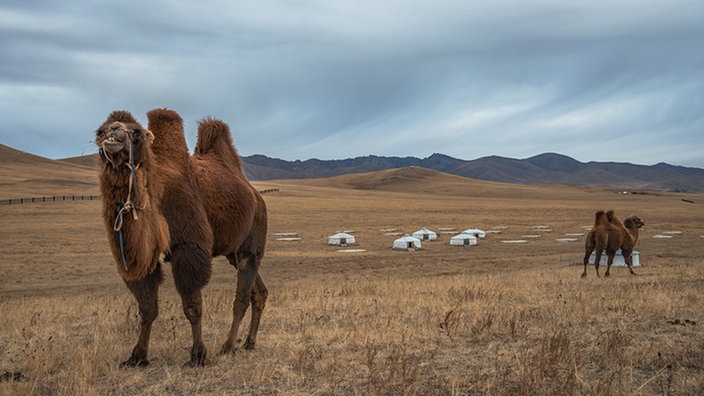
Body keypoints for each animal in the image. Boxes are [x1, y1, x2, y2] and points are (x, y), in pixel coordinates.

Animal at [96, 109, 266, 368]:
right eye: (101, 131)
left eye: (136, 132)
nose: (113, 132)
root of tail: (256, 196)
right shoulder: (143, 257)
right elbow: (147, 308)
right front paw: (137, 356)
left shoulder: (189, 248)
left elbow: (192, 307)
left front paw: (198, 355)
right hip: (231, 253)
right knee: (259, 292)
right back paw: (249, 342)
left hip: (251, 242)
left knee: (242, 296)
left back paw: (228, 346)